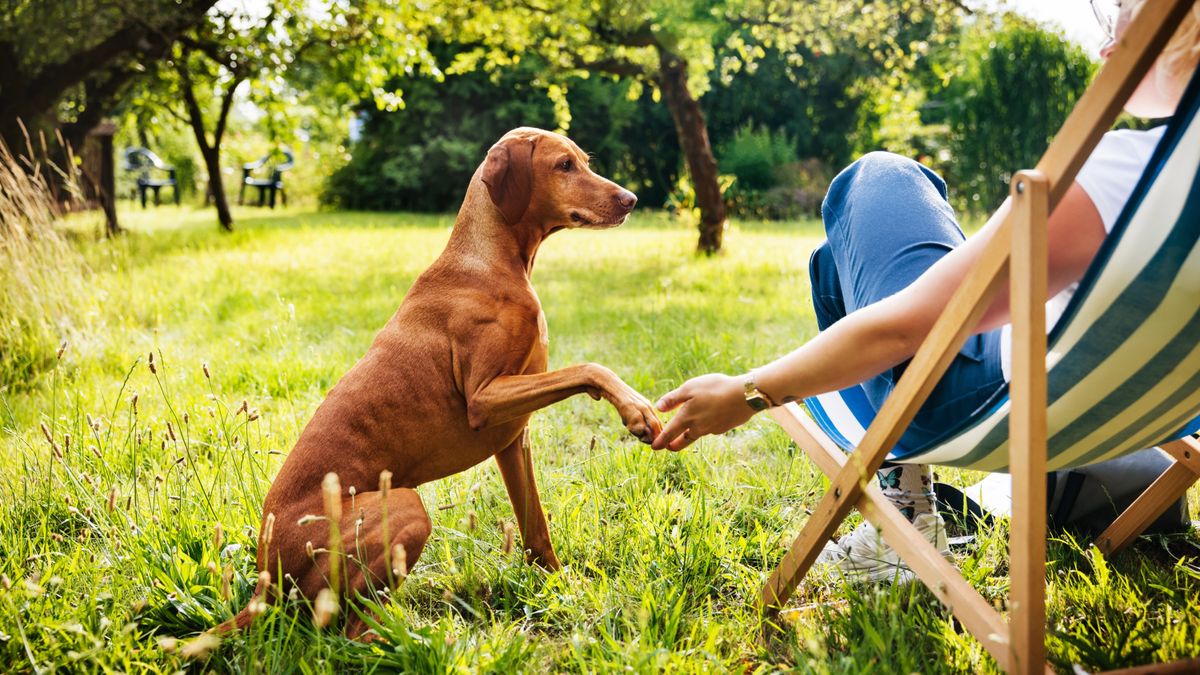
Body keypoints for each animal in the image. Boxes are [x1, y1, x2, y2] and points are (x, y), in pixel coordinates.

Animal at [220, 127, 662, 634]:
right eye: (564, 166)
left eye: (583, 161)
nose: (631, 199)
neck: (491, 261)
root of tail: (264, 582)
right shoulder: (485, 399)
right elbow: (589, 368)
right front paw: (636, 408)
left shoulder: (512, 439)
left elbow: (535, 527)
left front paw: (562, 587)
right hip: (404, 507)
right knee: (349, 626)